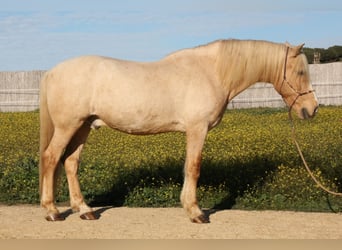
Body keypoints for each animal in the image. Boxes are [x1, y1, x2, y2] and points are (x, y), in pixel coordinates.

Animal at [40, 39, 318, 223]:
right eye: (300, 71)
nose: (312, 109)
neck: (212, 71)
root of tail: (52, 72)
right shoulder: (197, 129)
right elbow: (194, 167)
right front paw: (196, 212)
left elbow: (187, 167)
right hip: (68, 126)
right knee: (51, 158)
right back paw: (52, 211)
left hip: (83, 126)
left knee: (70, 163)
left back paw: (85, 210)